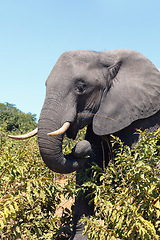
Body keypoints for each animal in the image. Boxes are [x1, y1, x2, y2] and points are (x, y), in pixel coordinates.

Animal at [8, 49, 160, 239]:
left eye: (81, 87)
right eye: (45, 84)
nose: (79, 146)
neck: (106, 55)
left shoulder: (145, 118)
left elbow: (137, 167)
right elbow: (90, 167)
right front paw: (82, 236)